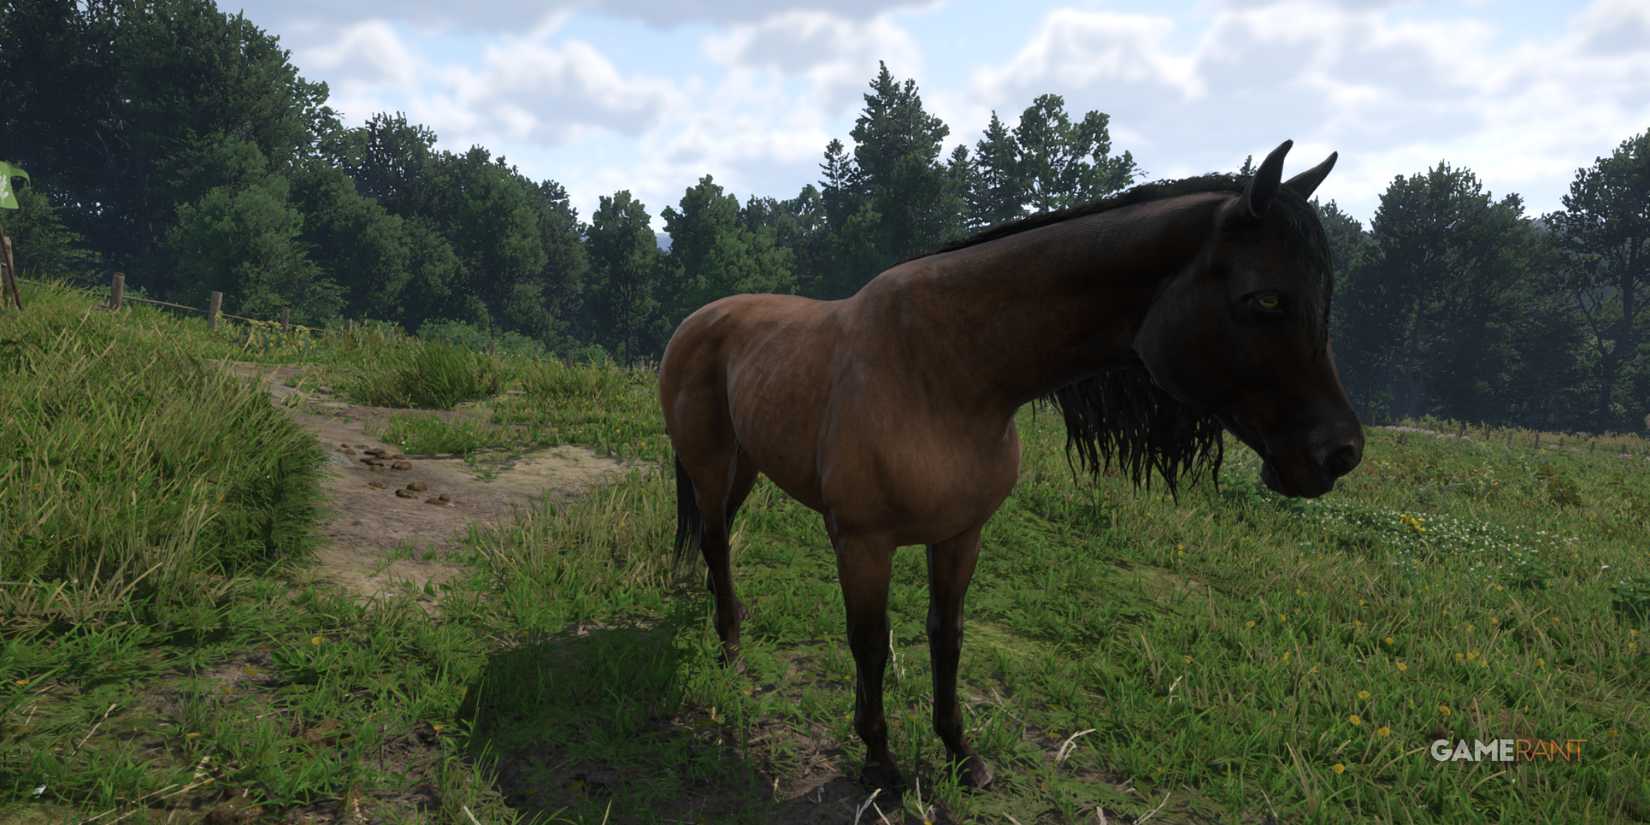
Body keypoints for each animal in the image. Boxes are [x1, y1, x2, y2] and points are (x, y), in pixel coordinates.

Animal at [657, 140, 1364, 793]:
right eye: (1266, 300)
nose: (1340, 452)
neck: (947, 371)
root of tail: (698, 320)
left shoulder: (961, 535)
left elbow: (946, 637)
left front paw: (961, 754)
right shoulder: (863, 543)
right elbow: (870, 643)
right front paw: (880, 760)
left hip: (747, 466)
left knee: (720, 537)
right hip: (711, 464)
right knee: (715, 540)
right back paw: (729, 647)